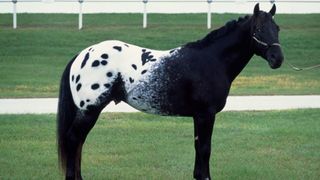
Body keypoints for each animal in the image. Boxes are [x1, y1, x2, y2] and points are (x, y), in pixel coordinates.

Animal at [57, 3, 282, 180]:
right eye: (258, 28)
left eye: (277, 28)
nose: (277, 59)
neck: (212, 60)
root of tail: (82, 55)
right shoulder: (205, 114)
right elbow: (205, 148)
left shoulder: (199, 116)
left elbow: (199, 147)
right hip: (89, 110)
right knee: (73, 139)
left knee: (79, 142)